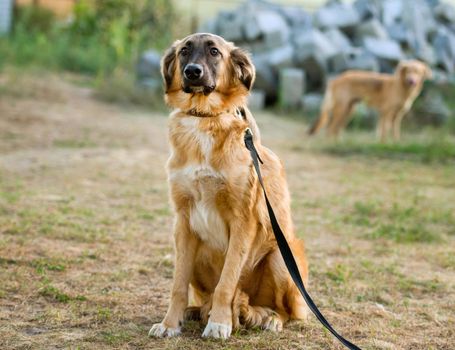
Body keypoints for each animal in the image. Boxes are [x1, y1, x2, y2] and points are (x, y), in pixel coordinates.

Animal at [150, 33, 310, 340]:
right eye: (184, 51)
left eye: (214, 52)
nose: (192, 72)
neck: (205, 117)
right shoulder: (183, 221)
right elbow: (178, 285)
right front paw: (169, 323)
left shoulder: (243, 220)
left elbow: (227, 283)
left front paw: (220, 323)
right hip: (198, 252)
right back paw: (195, 312)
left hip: (281, 258)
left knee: (287, 311)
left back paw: (270, 319)